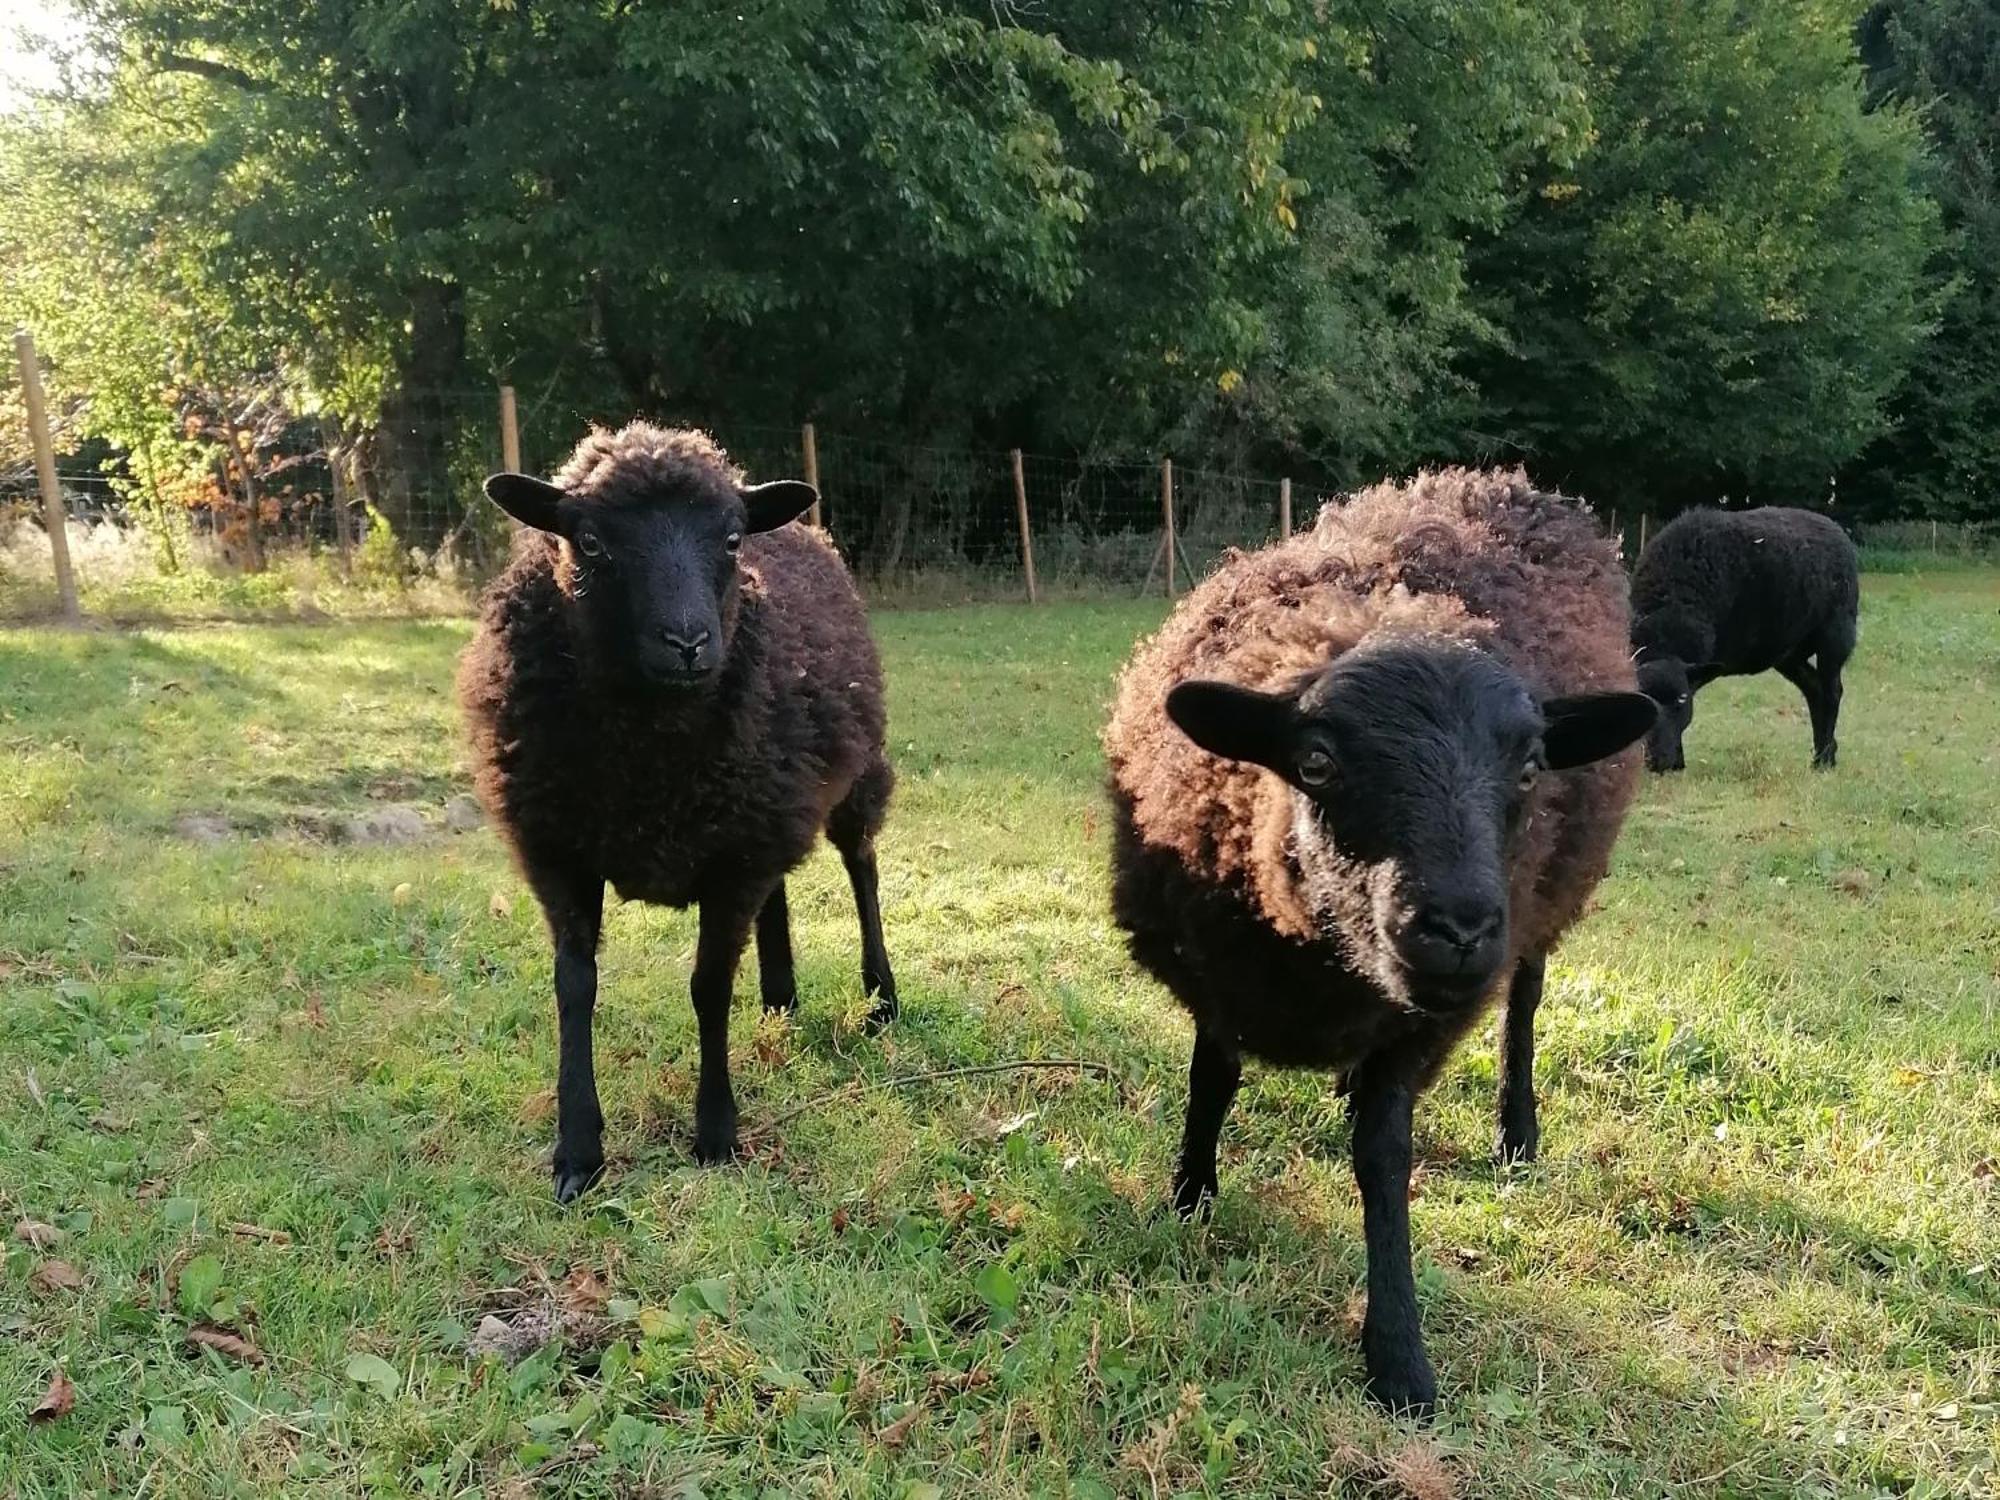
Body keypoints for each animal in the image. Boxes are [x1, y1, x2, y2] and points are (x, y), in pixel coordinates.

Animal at [460, 424, 900, 1208]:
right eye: (590, 541)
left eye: (730, 539)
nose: (689, 643)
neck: (646, 762)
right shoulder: (561, 850)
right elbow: (575, 986)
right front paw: (578, 1150)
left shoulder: (733, 857)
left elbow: (708, 986)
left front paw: (716, 1131)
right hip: (765, 797)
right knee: (780, 894)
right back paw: (780, 998)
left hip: (843, 777)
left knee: (862, 867)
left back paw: (880, 995)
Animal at [1104, 472, 1648, 1424]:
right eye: (1316, 762)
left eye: (1531, 766)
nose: (1459, 927)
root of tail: (1506, 482)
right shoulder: (1217, 969)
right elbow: (1211, 1083)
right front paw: (1189, 1199)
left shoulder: (1421, 1026)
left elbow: (1383, 1157)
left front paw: (1398, 1356)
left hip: (1541, 917)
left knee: (1525, 1005)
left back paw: (1516, 1130)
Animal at [1624, 508, 1856, 776]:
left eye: (1681, 699)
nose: (1657, 761)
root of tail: (1832, 525)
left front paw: (1677, 761)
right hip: (1788, 652)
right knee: (1813, 689)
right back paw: (1823, 754)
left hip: (1835, 634)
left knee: (1832, 692)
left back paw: (1824, 760)